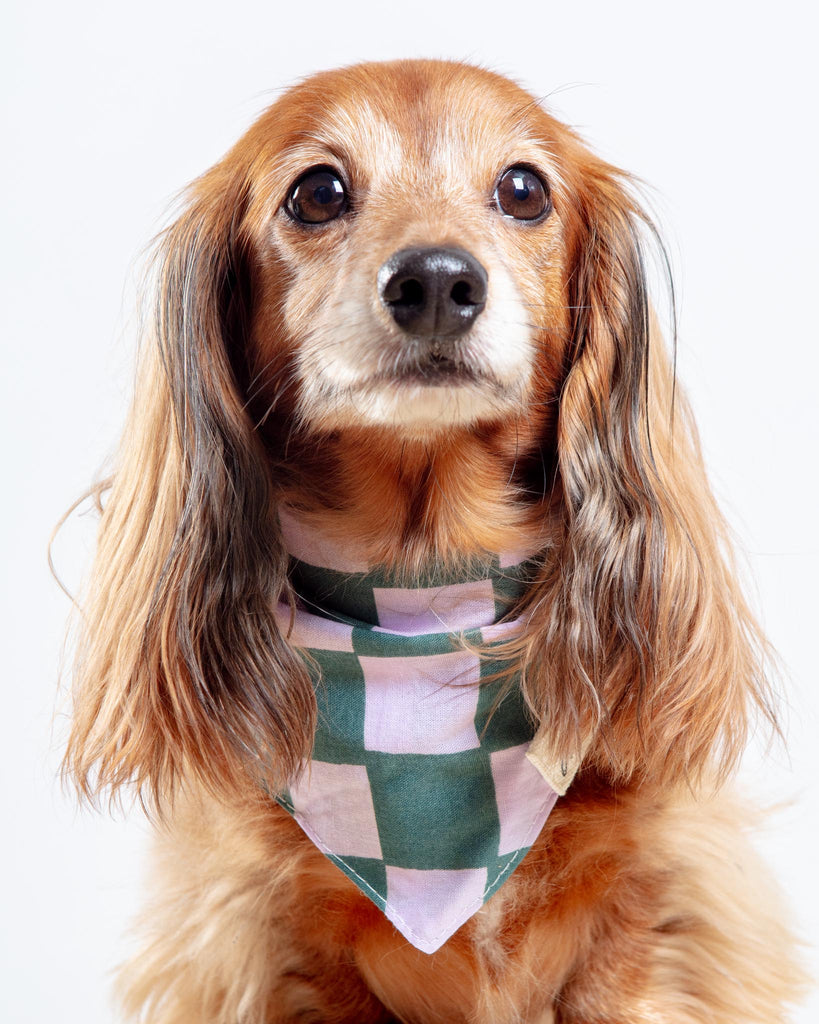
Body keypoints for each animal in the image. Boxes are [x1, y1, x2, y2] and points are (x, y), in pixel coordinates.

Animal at [65, 59, 806, 1019]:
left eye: (523, 190)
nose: (436, 282)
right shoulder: (270, 945)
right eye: (316, 193)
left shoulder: (651, 916)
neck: (424, 597)